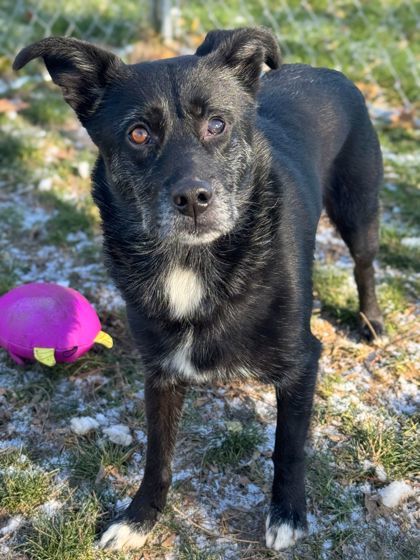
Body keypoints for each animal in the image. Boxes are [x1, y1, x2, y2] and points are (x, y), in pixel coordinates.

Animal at [13, 27, 384, 552]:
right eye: (138, 133)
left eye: (217, 124)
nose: (192, 199)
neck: (192, 261)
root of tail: (326, 70)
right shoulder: (161, 371)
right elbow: (158, 455)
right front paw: (139, 518)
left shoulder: (303, 362)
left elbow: (289, 448)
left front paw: (288, 515)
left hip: (358, 207)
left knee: (365, 264)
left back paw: (371, 320)